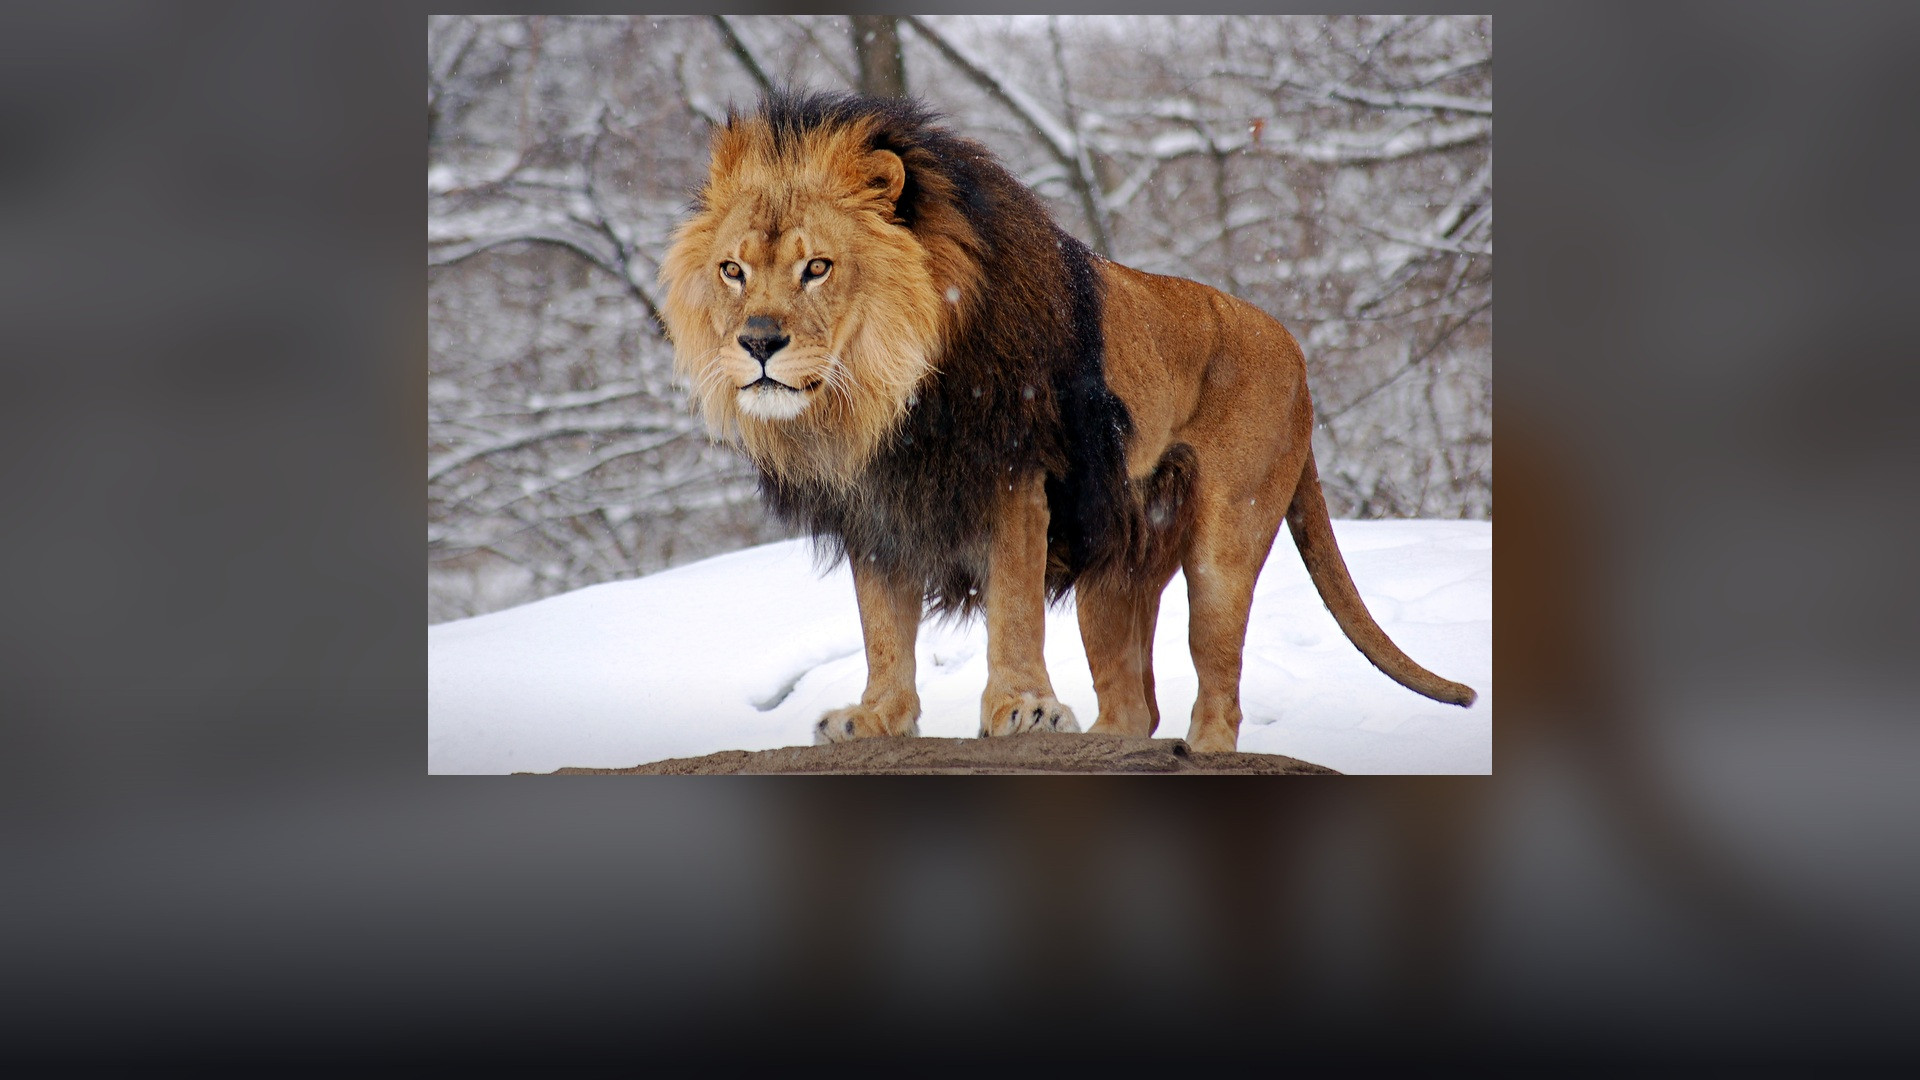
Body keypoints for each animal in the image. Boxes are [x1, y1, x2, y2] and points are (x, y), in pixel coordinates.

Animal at [660, 90, 1475, 753]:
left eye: (817, 268)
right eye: (733, 271)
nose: (758, 343)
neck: (883, 398)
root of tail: (1298, 355)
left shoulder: (1014, 471)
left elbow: (1014, 604)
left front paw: (1022, 709)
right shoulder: (877, 508)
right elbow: (883, 626)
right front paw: (876, 717)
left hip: (1225, 542)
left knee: (1218, 685)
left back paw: (1201, 749)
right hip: (1113, 573)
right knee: (1136, 704)